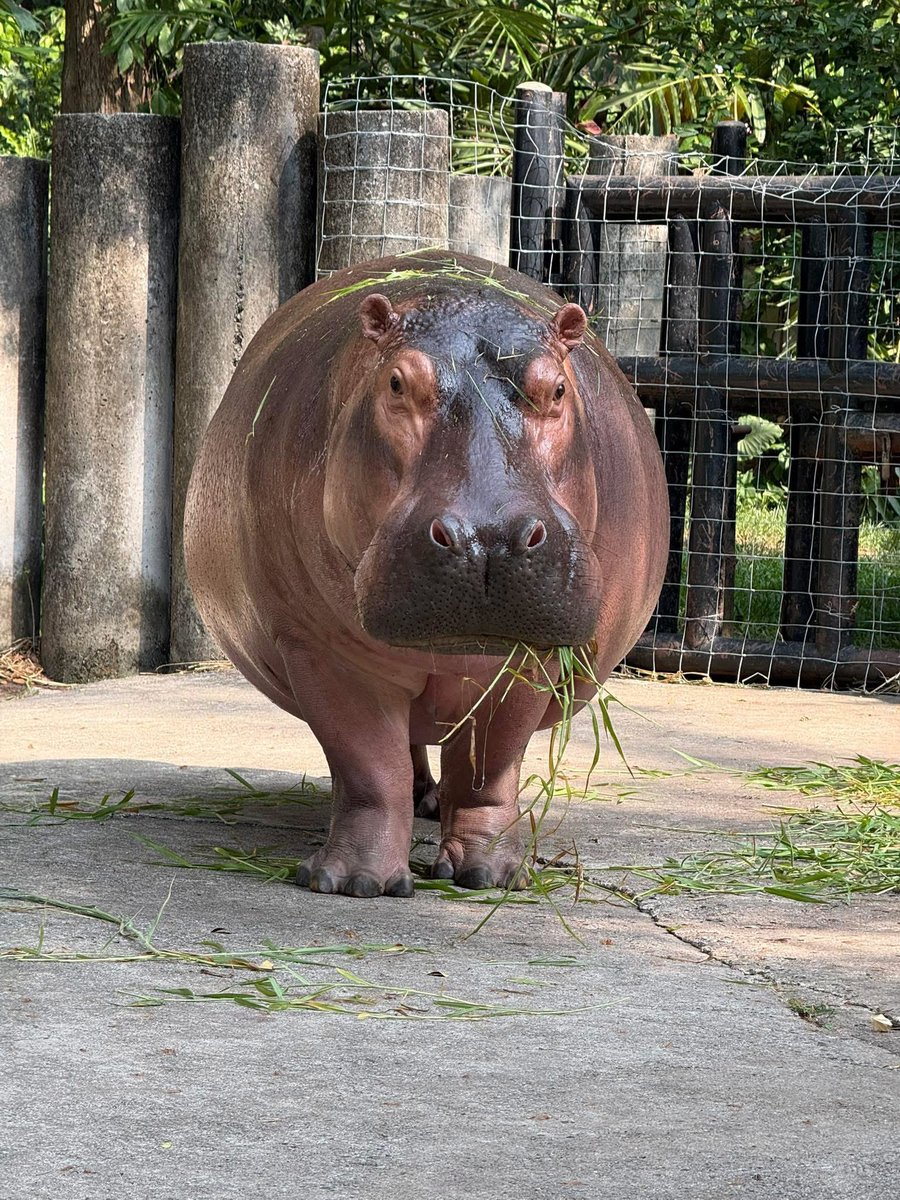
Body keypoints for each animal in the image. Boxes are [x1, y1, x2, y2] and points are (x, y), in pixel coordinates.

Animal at [184, 251, 668, 898]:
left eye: (558, 388)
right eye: (396, 383)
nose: (487, 537)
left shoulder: (526, 659)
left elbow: (489, 768)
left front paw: (490, 875)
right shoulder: (323, 650)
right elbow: (369, 766)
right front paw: (353, 882)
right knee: (401, 753)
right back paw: (416, 805)